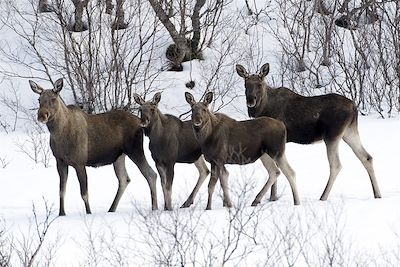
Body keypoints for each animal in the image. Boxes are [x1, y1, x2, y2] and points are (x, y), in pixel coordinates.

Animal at [29, 77, 158, 216]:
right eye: (39, 99)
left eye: (53, 99)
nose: (42, 115)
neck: (59, 135)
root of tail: (140, 123)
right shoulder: (60, 161)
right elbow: (61, 191)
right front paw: (61, 214)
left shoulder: (79, 162)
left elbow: (84, 193)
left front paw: (89, 213)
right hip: (119, 157)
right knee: (124, 179)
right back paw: (111, 209)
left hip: (135, 150)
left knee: (151, 174)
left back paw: (154, 208)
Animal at [236, 62, 382, 201]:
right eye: (245, 84)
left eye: (260, 84)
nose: (250, 100)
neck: (263, 108)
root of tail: (354, 107)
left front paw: (273, 197)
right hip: (349, 132)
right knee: (366, 157)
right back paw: (377, 194)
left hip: (332, 136)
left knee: (336, 165)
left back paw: (323, 196)